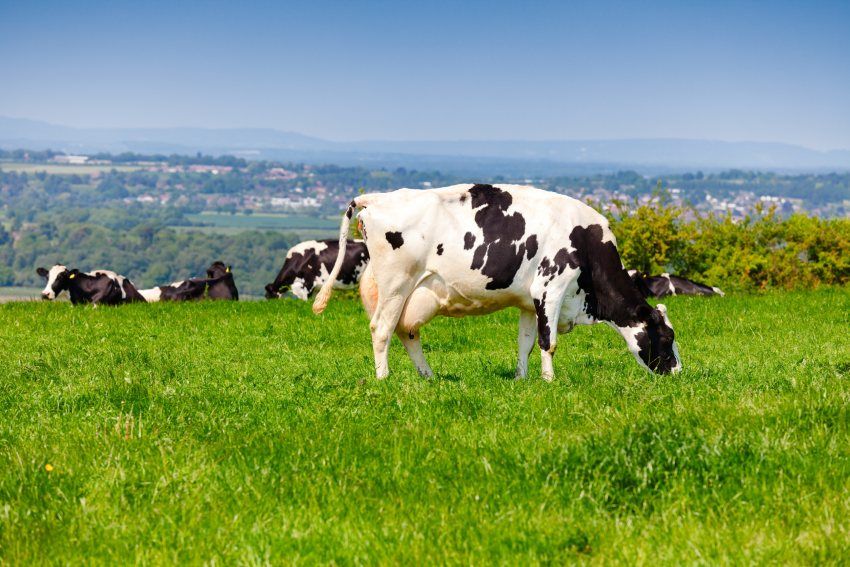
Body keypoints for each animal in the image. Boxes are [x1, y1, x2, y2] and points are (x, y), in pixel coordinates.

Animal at [312, 185, 684, 382]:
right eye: (667, 337)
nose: (679, 372)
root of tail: (377, 198)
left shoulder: (529, 302)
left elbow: (526, 343)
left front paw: (522, 379)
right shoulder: (550, 288)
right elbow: (549, 342)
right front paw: (550, 381)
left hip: (414, 292)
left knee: (407, 331)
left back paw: (429, 377)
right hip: (395, 283)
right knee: (382, 329)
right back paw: (384, 377)